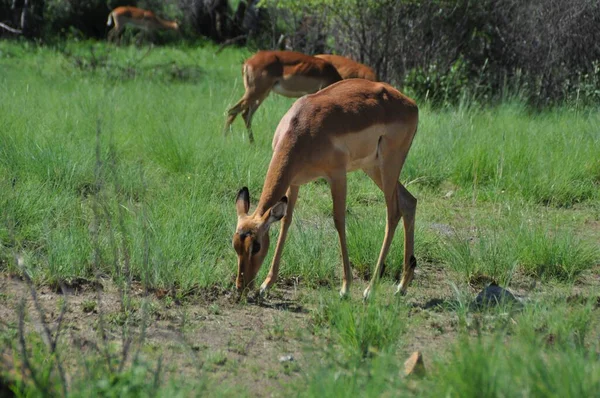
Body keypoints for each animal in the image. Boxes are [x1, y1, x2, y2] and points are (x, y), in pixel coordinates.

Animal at [232, 79, 420, 300]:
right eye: (235, 245)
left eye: (256, 246)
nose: (241, 287)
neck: (301, 127)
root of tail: (411, 105)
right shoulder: (294, 182)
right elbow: (286, 222)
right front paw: (266, 284)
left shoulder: (337, 175)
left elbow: (339, 221)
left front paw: (345, 288)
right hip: (373, 168)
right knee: (409, 202)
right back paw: (402, 286)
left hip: (388, 166)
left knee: (394, 213)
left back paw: (370, 290)